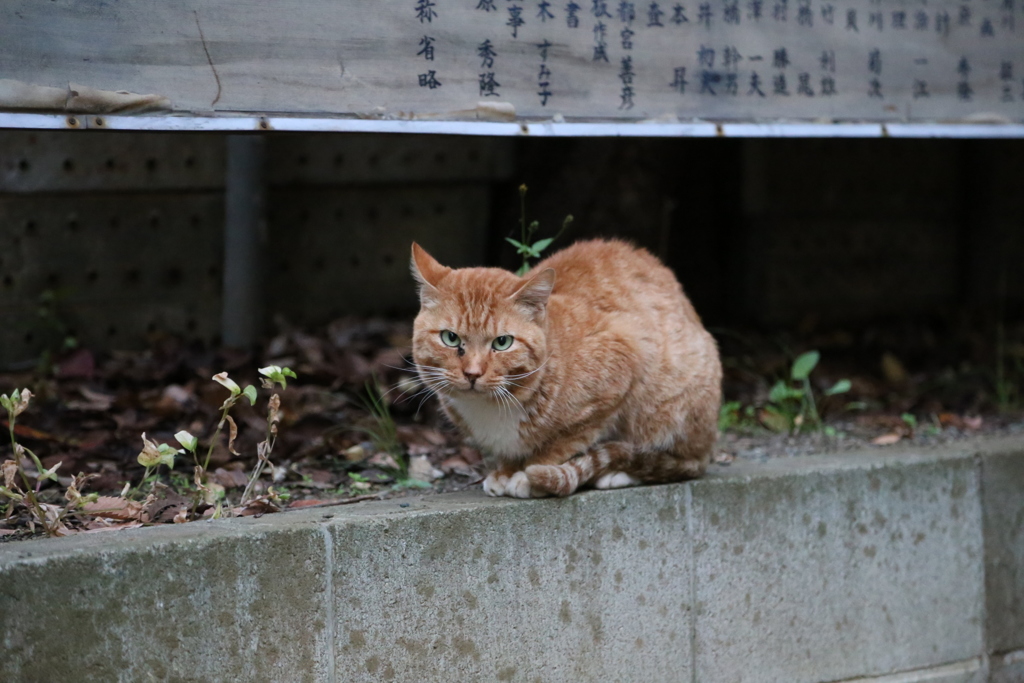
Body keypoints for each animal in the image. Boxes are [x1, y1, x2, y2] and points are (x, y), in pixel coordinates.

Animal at [407, 239, 720, 497]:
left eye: (502, 342)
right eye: (450, 338)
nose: (472, 373)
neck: (493, 407)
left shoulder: (621, 367)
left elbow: (562, 444)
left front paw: (526, 475)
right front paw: (506, 470)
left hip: (671, 406)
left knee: (675, 463)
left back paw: (618, 473)